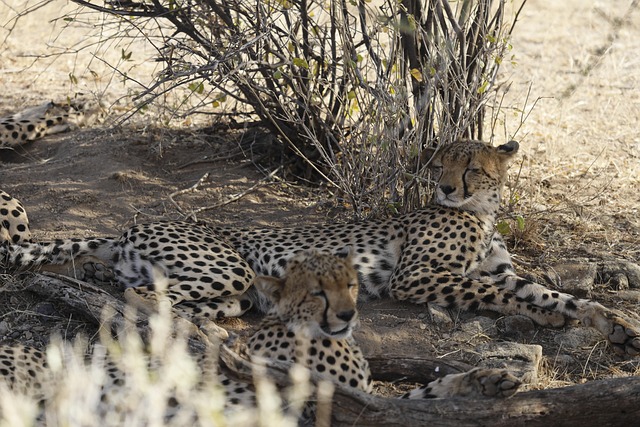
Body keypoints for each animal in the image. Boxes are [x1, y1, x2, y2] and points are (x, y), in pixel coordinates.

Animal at [0, 250, 519, 425]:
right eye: (317, 291)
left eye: (350, 283)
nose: (348, 314)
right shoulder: (342, 408)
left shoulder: (363, 399)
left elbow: (429, 392)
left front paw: (489, 379)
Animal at [1, 139, 639, 355]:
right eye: (441, 164)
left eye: (473, 168)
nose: (446, 188)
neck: (480, 211)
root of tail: (129, 228)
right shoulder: (417, 277)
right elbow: (496, 292)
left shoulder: (502, 271)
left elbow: (544, 292)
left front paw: (610, 322)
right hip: (230, 269)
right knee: (137, 300)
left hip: (227, 288)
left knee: (146, 293)